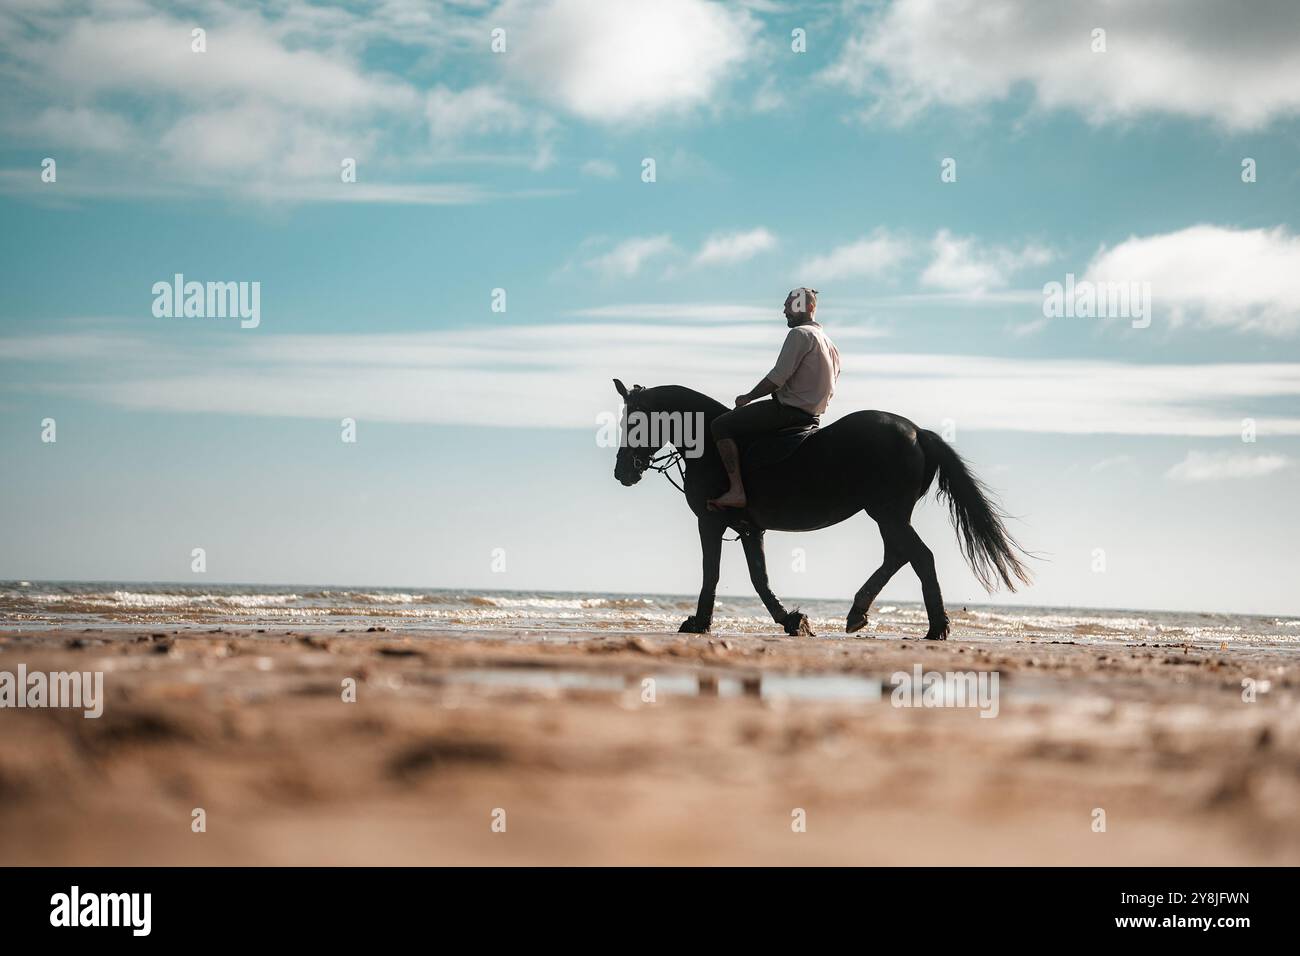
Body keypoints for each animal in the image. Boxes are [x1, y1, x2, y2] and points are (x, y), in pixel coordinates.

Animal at [611, 380, 1032, 639]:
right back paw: (859, 613)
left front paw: (699, 623)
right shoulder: (749, 528)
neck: (709, 447)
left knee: (919, 556)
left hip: (887, 512)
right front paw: (792, 620)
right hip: (888, 514)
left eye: (634, 422)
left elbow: (711, 574)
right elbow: (759, 578)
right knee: (898, 555)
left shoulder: (710, 522)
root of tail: (917, 432)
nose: (621, 473)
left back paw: (936, 627)